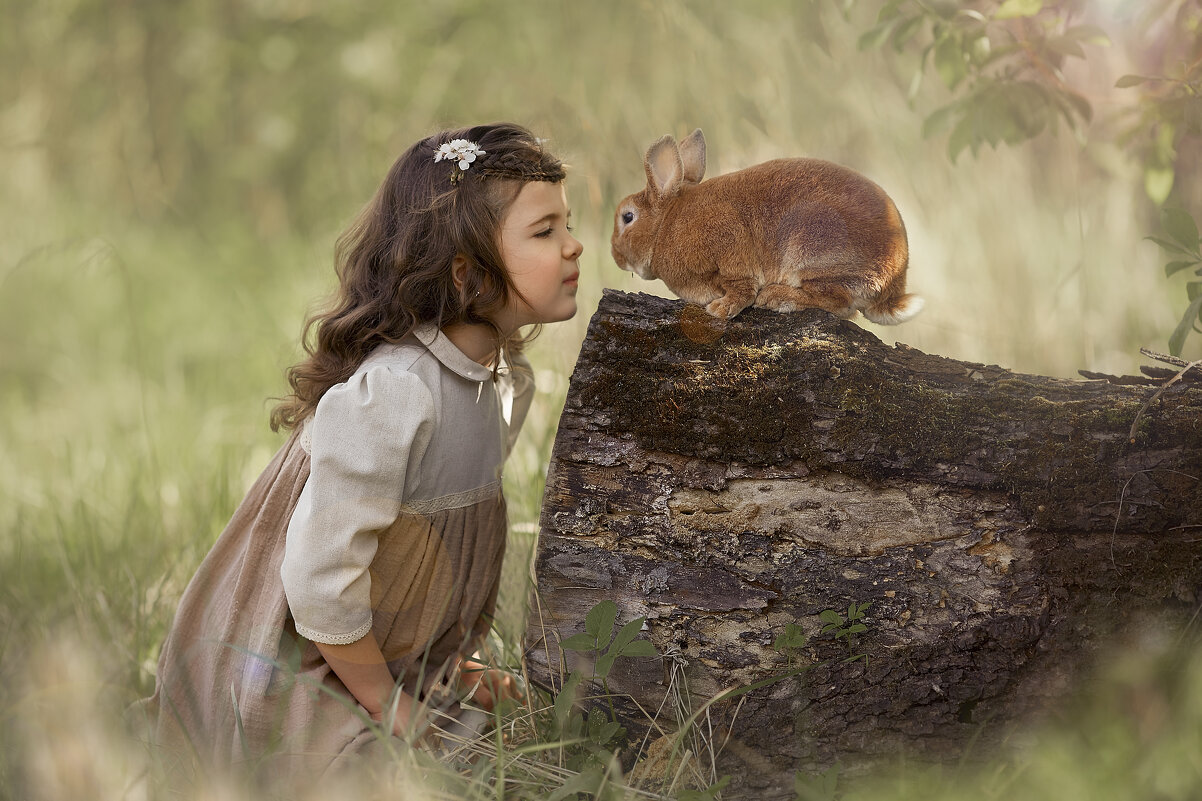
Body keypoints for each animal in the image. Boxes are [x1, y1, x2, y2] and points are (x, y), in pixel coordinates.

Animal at [615, 128, 923, 322]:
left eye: (627, 217)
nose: (616, 257)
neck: (665, 225)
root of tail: (893, 281)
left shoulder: (729, 246)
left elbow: (741, 287)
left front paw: (721, 309)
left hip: (812, 250)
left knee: (839, 303)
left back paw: (776, 298)